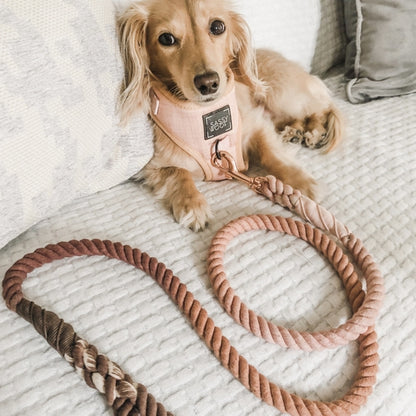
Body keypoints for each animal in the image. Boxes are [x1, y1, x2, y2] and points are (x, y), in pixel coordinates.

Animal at [115, 0, 342, 231]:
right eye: (166, 39)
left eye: (217, 26)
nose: (208, 83)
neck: (203, 114)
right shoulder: (152, 167)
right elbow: (178, 173)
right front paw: (192, 204)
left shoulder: (256, 124)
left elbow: (272, 154)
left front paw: (303, 183)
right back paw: (296, 132)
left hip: (282, 96)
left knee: (322, 109)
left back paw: (313, 132)